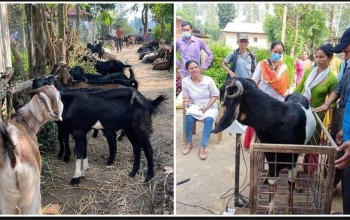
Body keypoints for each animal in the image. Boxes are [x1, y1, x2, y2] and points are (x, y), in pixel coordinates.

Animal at [0, 85, 63, 214]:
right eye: (42, 98)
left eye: (58, 96)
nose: (56, 113)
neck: (24, 122)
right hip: (31, 192)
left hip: (5, 196)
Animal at [212, 77, 316, 213]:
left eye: (223, 91)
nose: (218, 117)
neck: (277, 121)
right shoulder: (271, 158)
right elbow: (272, 188)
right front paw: (269, 210)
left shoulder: (291, 159)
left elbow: (290, 187)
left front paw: (290, 210)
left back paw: (299, 185)